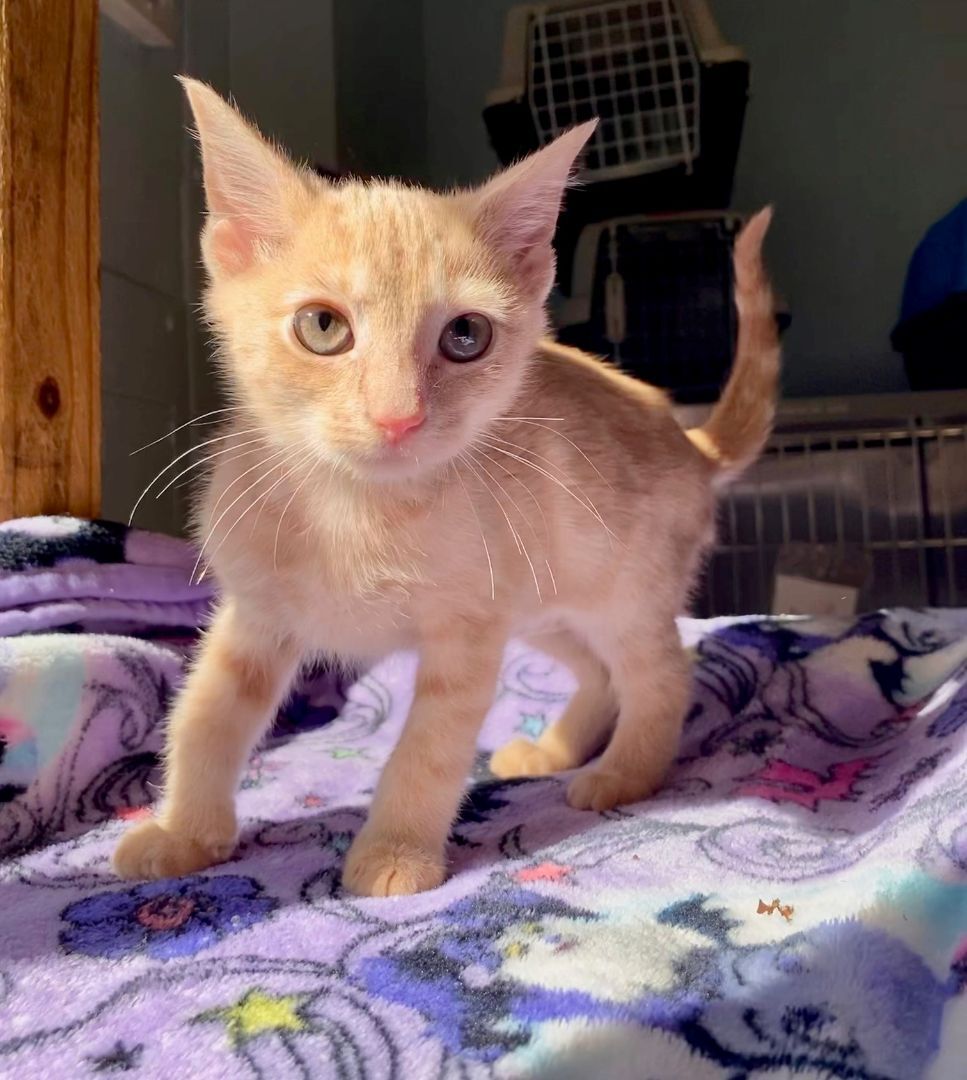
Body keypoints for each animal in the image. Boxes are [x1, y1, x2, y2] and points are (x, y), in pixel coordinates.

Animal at [114, 78, 779, 896]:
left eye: (466, 337)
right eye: (322, 327)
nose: (398, 415)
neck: (355, 513)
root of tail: (689, 441)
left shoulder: (467, 634)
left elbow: (428, 749)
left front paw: (396, 852)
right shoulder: (256, 612)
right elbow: (204, 716)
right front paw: (183, 834)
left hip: (621, 590)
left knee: (662, 670)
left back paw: (624, 772)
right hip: (544, 603)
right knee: (598, 668)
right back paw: (554, 749)